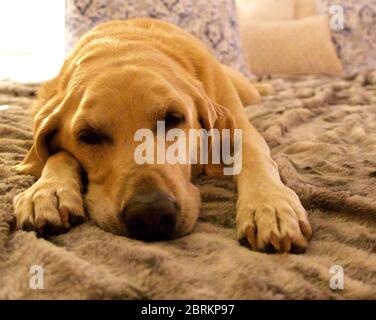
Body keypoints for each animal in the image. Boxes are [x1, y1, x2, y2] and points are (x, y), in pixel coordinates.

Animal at [12, 18, 312, 252]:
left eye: (173, 119)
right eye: (87, 135)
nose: (150, 215)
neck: (123, 46)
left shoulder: (242, 130)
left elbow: (254, 156)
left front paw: (270, 205)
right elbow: (58, 156)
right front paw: (47, 191)